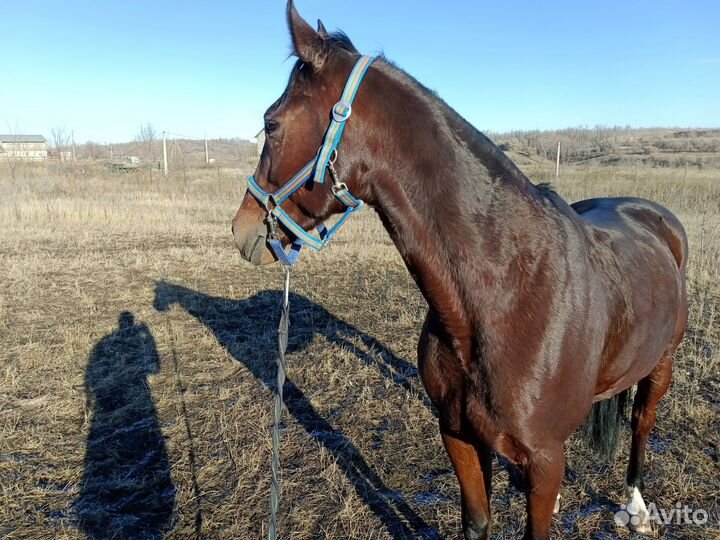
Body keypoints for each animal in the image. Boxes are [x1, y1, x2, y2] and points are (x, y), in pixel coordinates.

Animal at [231, 3, 688, 536]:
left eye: (271, 123)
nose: (242, 229)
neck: (505, 295)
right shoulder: (459, 436)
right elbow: (476, 522)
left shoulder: (545, 456)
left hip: (661, 366)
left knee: (641, 422)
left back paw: (636, 506)